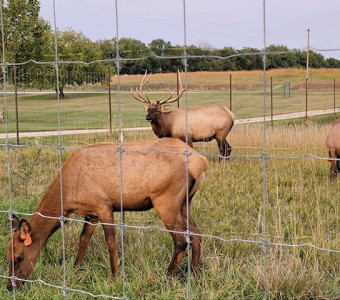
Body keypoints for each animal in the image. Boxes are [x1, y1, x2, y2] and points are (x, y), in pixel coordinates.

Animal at [5, 138, 207, 290]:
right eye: (6, 256)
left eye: (19, 257)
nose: (10, 286)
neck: (67, 197)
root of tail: (201, 162)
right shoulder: (91, 213)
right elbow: (83, 240)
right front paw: (76, 268)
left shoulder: (104, 206)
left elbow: (111, 243)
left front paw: (115, 276)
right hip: (185, 202)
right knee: (196, 234)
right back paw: (194, 275)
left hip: (166, 200)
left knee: (181, 240)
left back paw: (167, 276)